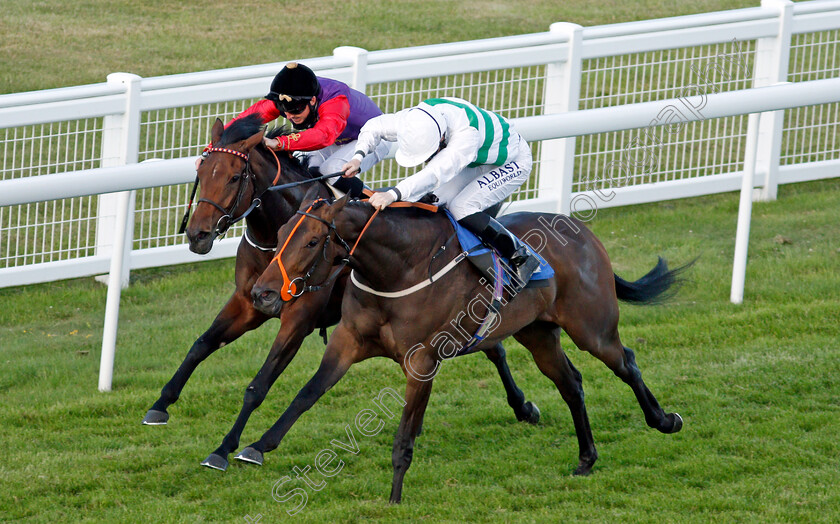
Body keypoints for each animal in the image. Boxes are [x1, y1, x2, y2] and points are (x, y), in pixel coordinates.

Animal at [142, 115, 540, 470]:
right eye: (201, 170)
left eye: (235, 176)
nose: (197, 235)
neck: (275, 239)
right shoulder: (247, 301)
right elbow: (202, 344)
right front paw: (160, 405)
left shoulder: (298, 318)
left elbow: (260, 384)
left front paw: (225, 449)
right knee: (490, 346)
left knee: (495, 346)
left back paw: (523, 401)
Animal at [243, 191, 688, 504]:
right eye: (279, 235)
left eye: (312, 241)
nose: (262, 295)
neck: (398, 269)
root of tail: (578, 229)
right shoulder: (348, 341)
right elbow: (305, 395)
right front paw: (255, 447)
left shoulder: (422, 361)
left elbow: (404, 435)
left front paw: (395, 497)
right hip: (537, 333)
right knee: (571, 383)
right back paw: (586, 458)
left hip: (591, 328)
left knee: (626, 363)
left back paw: (664, 420)